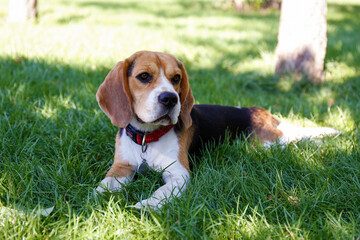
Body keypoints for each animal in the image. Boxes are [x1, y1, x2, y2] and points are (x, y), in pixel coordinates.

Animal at [95, 51, 338, 209]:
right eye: (144, 76)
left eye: (176, 78)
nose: (170, 99)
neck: (148, 137)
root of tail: (255, 110)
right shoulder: (121, 167)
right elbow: (104, 184)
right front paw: (96, 198)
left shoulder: (179, 174)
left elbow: (162, 191)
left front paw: (148, 204)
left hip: (267, 143)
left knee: (292, 139)